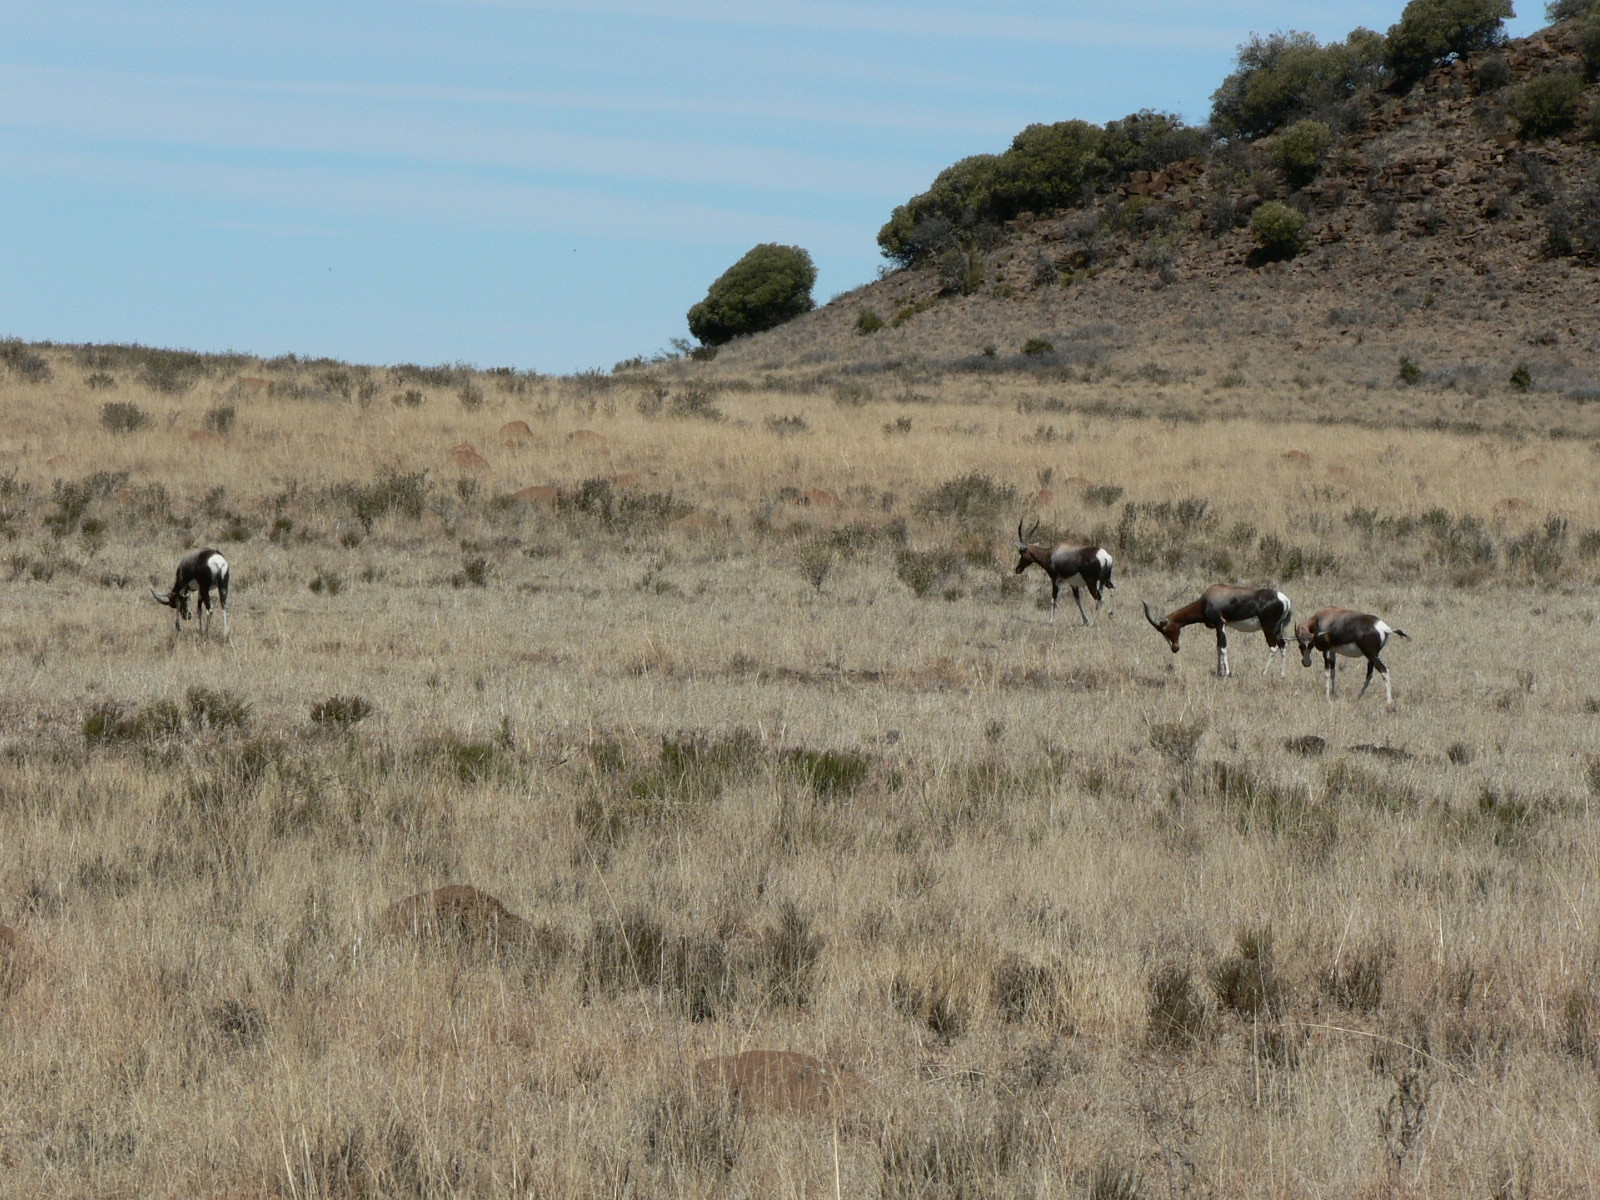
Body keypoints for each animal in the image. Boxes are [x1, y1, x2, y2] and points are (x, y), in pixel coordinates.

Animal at [1145, 588, 1292, 681]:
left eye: (1165, 630)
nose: (1175, 648)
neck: (1209, 598)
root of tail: (1285, 600)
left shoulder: (1220, 624)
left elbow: (1223, 647)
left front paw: (1226, 673)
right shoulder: (1218, 627)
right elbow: (1218, 648)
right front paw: (1218, 672)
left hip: (1268, 628)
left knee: (1273, 647)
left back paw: (1263, 673)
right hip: (1277, 629)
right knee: (1283, 645)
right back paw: (1282, 674)